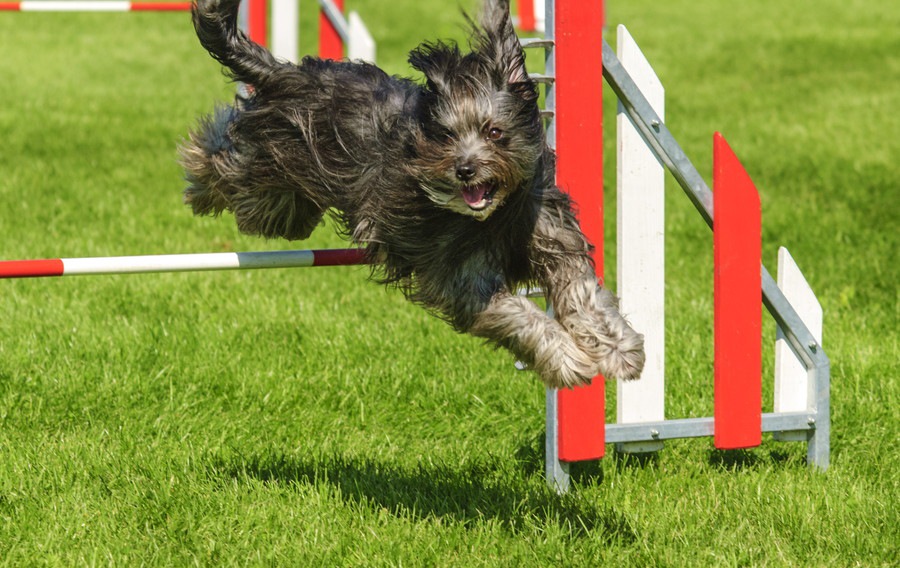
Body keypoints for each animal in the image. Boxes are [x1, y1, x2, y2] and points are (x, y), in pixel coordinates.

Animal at [179, 0, 644, 388]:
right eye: (448, 134)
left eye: (494, 131)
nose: (465, 169)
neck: (497, 216)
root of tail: (286, 73)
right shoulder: (460, 276)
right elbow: (519, 315)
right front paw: (567, 358)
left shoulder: (552, 235)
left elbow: (583, 296)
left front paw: (619, 350)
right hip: (271, 177)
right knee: (222, 155)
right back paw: (198, 178)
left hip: (291, 203)